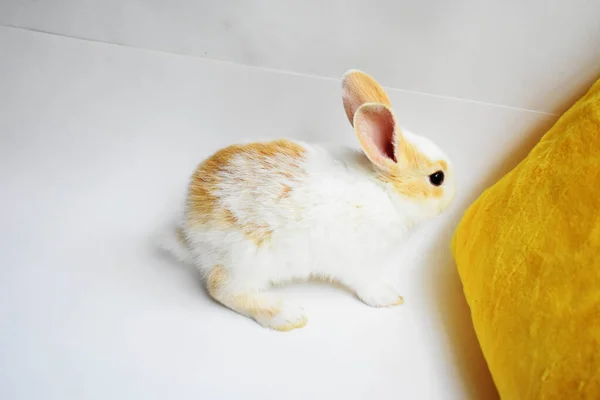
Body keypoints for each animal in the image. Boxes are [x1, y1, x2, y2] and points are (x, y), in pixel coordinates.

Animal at [162, 69, 458, 332]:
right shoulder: (357, 260)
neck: (386, 191)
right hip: (244, 260)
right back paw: (287, 315)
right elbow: (366, 283)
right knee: (222, 289)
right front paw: (389, 297)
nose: (455, 194)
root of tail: (191, 229)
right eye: (437, 178)